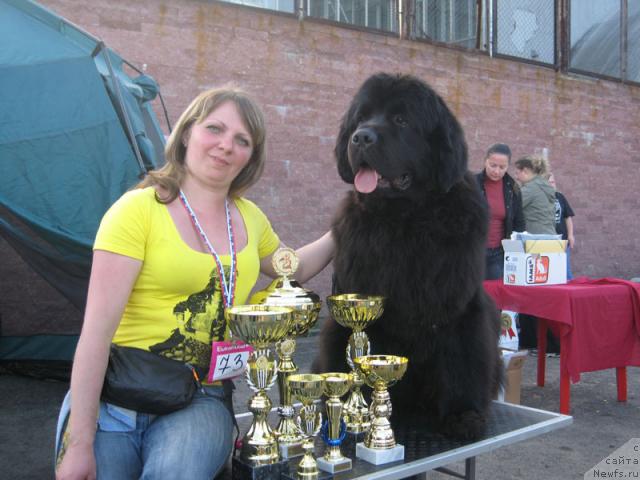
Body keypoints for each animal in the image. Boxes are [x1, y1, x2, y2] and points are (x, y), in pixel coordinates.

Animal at [318, 73, 502, 440]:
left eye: (401, 120)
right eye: (361, 118)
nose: (361, 137)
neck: (404, 220)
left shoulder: (460, 308)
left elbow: (462, 357)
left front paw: (464, 414)